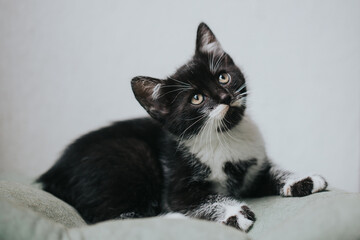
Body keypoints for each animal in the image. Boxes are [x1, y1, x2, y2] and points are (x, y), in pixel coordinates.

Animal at [38, 23, 328, 232]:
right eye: (197, 98)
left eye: (223, 77)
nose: (225, 97)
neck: (224, 138)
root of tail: (51, 174)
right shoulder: (177, 185)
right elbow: (202, 198)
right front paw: (234, 212)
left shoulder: (254, 167)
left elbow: (271, 171)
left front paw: (300, 179)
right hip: (130, 155)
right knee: (109, 218)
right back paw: (175, 220)